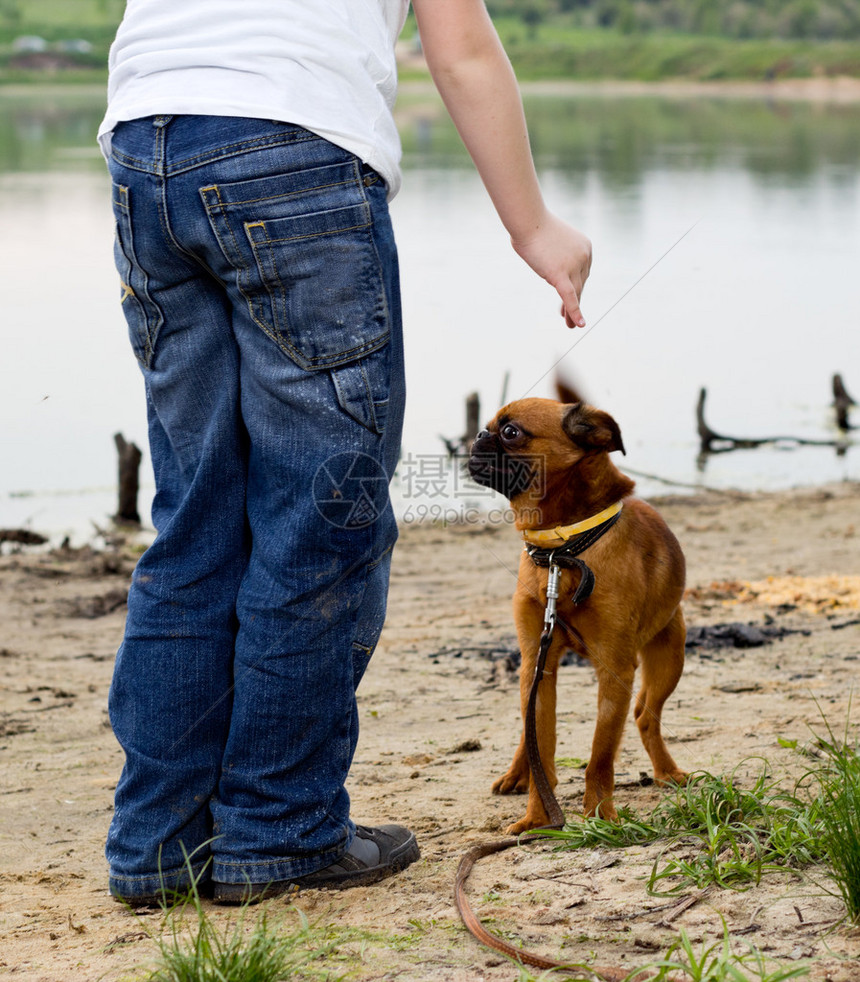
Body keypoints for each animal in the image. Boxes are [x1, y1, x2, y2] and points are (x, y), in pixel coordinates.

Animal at [466, 396, 688, 836]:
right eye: (488, 426)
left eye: (510, 432)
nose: (479, 434)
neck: (561, 549)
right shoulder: (539, 662)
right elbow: (541, 740)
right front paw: (538, 819)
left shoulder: (616, 670)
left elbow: (601, 753)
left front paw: (600, 814)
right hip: (534, 668)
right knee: (531, 733)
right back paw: (519, 772)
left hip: (670, 656)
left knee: (646, 716)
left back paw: (666, 771)